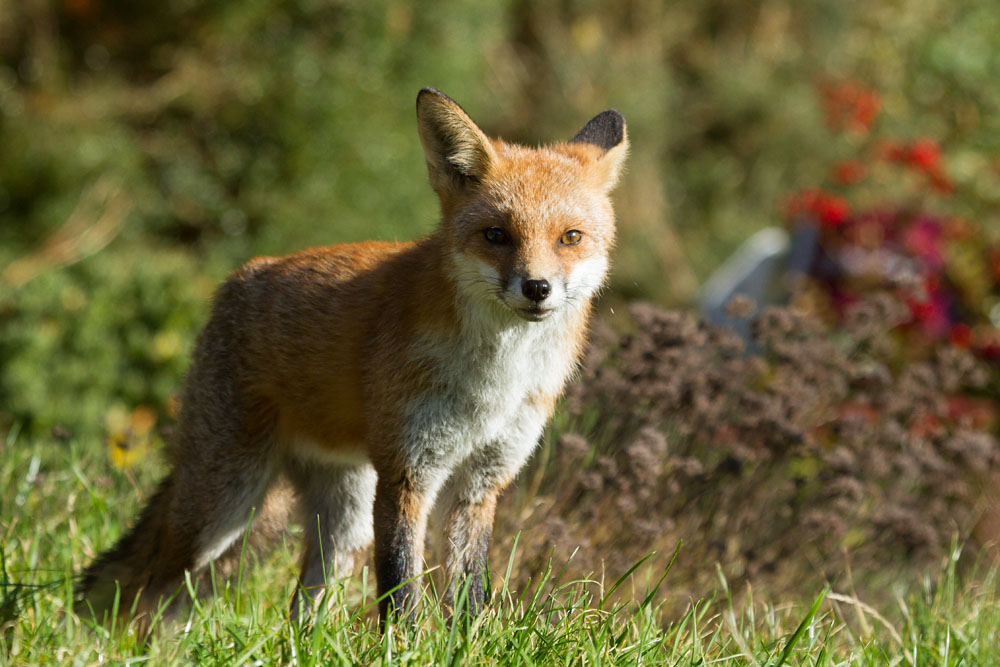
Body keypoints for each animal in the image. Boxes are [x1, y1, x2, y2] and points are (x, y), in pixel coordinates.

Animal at [76, 88, 628, 631]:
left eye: (570, 238)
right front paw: (402, 647)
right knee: (153, 585)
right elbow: (401, 592)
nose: (537, 288)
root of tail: (237, 281)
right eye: (496, 235)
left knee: (301, 605)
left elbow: (469, 596)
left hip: (343, 519)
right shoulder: (408, 471)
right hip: (224, 503)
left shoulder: (482, 479)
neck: (497, 380)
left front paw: (463, 642)